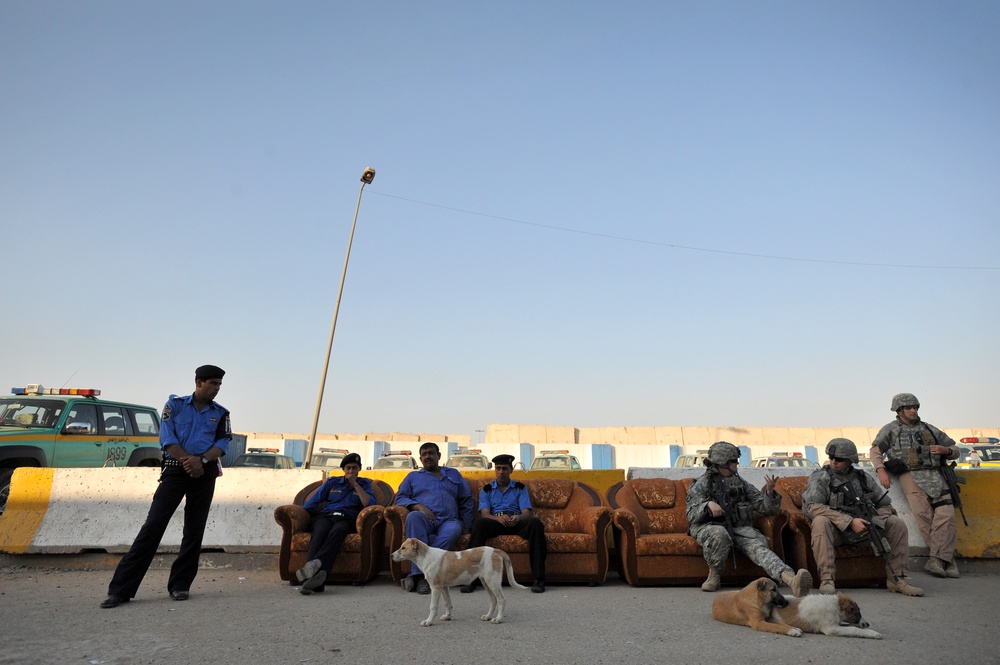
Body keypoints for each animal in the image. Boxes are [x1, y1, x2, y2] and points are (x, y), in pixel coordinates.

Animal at [390, 536, 532, 624]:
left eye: (403, 548)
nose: (391, 555)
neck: (426, 557)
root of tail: (496, 550)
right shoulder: (444, 587)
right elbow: (447, 603)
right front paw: (447, 617)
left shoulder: (435, 587)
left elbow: (433, 606)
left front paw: (428, 621)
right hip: (486, 582)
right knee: (493, 600)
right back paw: (488, 616)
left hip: (493, 582)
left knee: (502, 600)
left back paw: (498, 619)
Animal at [712, 576, 884, 640]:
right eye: (857, 611)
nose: (867, 623)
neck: (834, 606)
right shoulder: (830, 628)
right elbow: (853, 629)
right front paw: (872, 633)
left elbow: (848, 625)